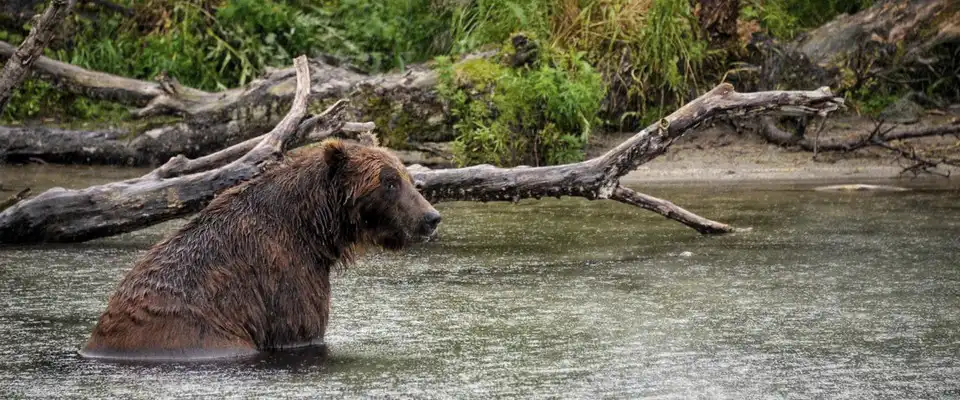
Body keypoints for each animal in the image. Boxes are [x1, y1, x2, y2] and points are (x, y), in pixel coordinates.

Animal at [79, 139, 441, 361]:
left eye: (409, 178)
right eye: (389, 182)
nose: (431, 218)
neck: (311, 227)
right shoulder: (284, 274)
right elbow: (300, 326)